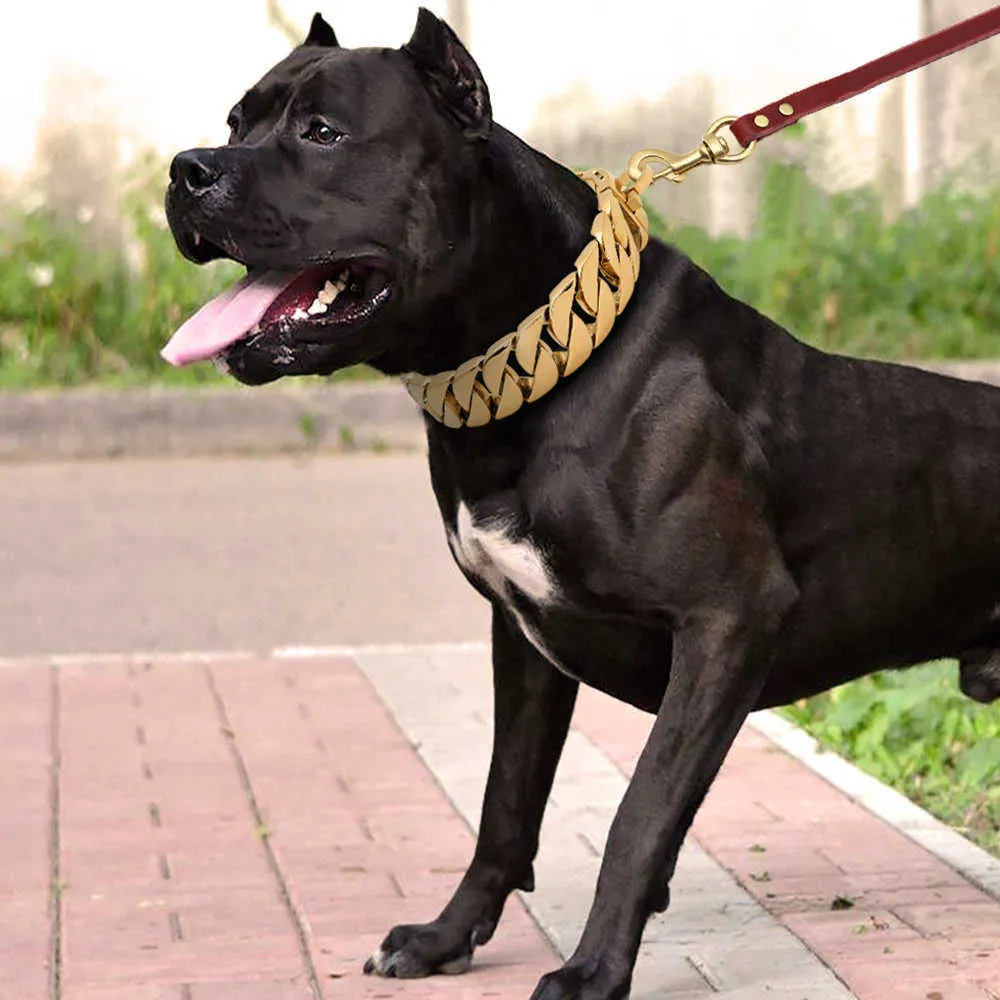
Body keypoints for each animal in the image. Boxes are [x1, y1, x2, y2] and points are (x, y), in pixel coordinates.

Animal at [162, 9, 1000, 1000]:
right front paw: (448, 937)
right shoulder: (521, 640)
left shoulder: (727, 622)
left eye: (321, 132)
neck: (533, 376)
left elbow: (640, 814)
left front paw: (595, 968)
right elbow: (504, 803)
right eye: (237, 119)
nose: (186, 169)